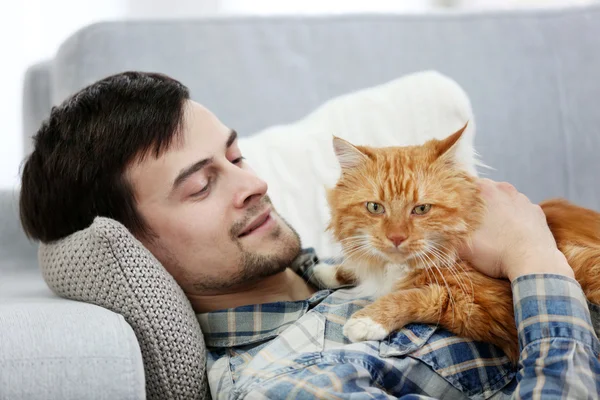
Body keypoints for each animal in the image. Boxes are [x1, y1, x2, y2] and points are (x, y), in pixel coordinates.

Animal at [312, 123, 600, 364]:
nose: (396, 237)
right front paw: (325, 270)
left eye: (421, 209)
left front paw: (368, 320)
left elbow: (418, 296)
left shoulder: (485, 305)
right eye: (375, 207)